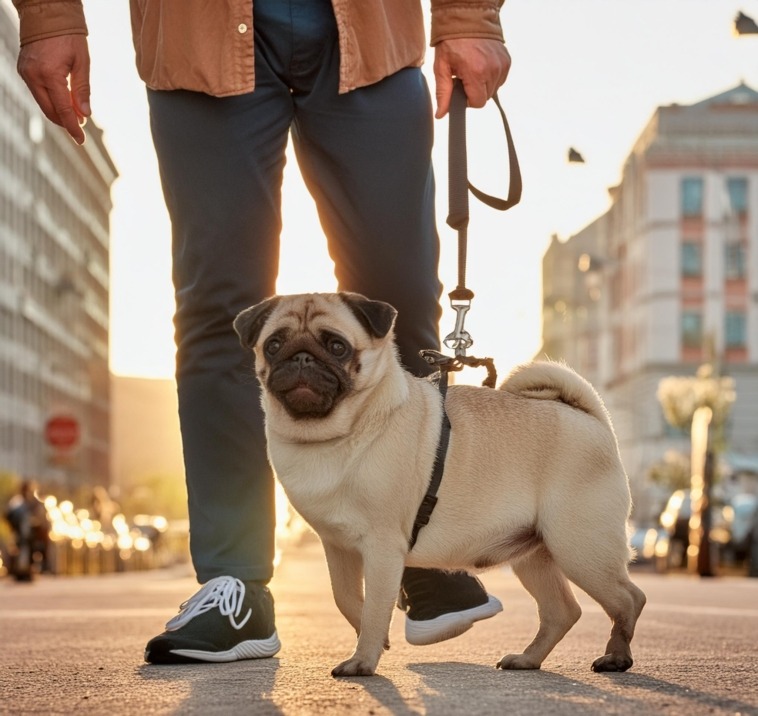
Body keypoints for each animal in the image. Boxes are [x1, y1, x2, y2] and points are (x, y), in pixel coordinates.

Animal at [236, 290, 648, 676]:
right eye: (274, 345)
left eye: (337, 346)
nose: (301, 357)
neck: (333, 435)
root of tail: (589, 417)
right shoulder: (337, 546)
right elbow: (347, 599)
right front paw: (375, 643)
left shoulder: (383, 546)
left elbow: (374, 608)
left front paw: (363, 661)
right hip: (535, 553)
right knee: (563, 611)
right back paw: (528, 658)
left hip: (579, 547)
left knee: (629, 599)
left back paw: (616, 656)